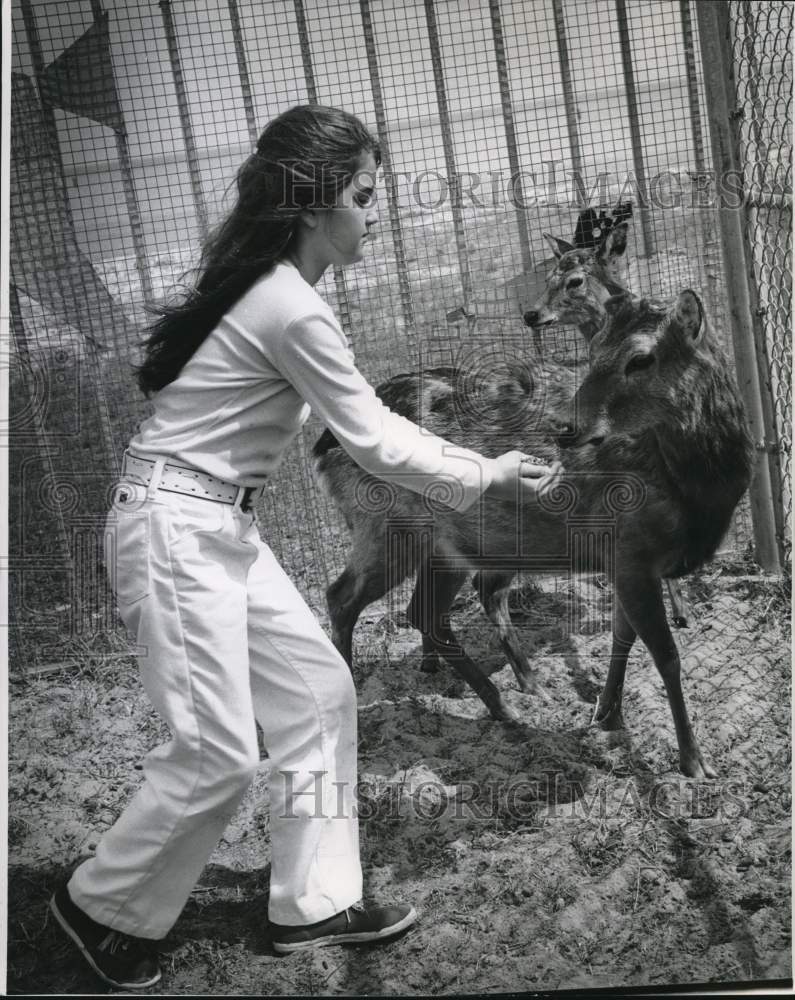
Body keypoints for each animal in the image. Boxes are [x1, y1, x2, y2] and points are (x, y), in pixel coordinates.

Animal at [316, 290, 752, 780]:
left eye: (641, 358)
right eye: (593, 352)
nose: (565, 429)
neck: (699, 493)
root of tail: (322, 446)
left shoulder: (623, 559)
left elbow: (622, 638)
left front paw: (607, 714)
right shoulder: (631, 549)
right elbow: (667, 655)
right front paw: (694, 761)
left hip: (447, 545)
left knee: (423, 610)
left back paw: (508, 702)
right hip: (388, 526)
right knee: (342, 596)